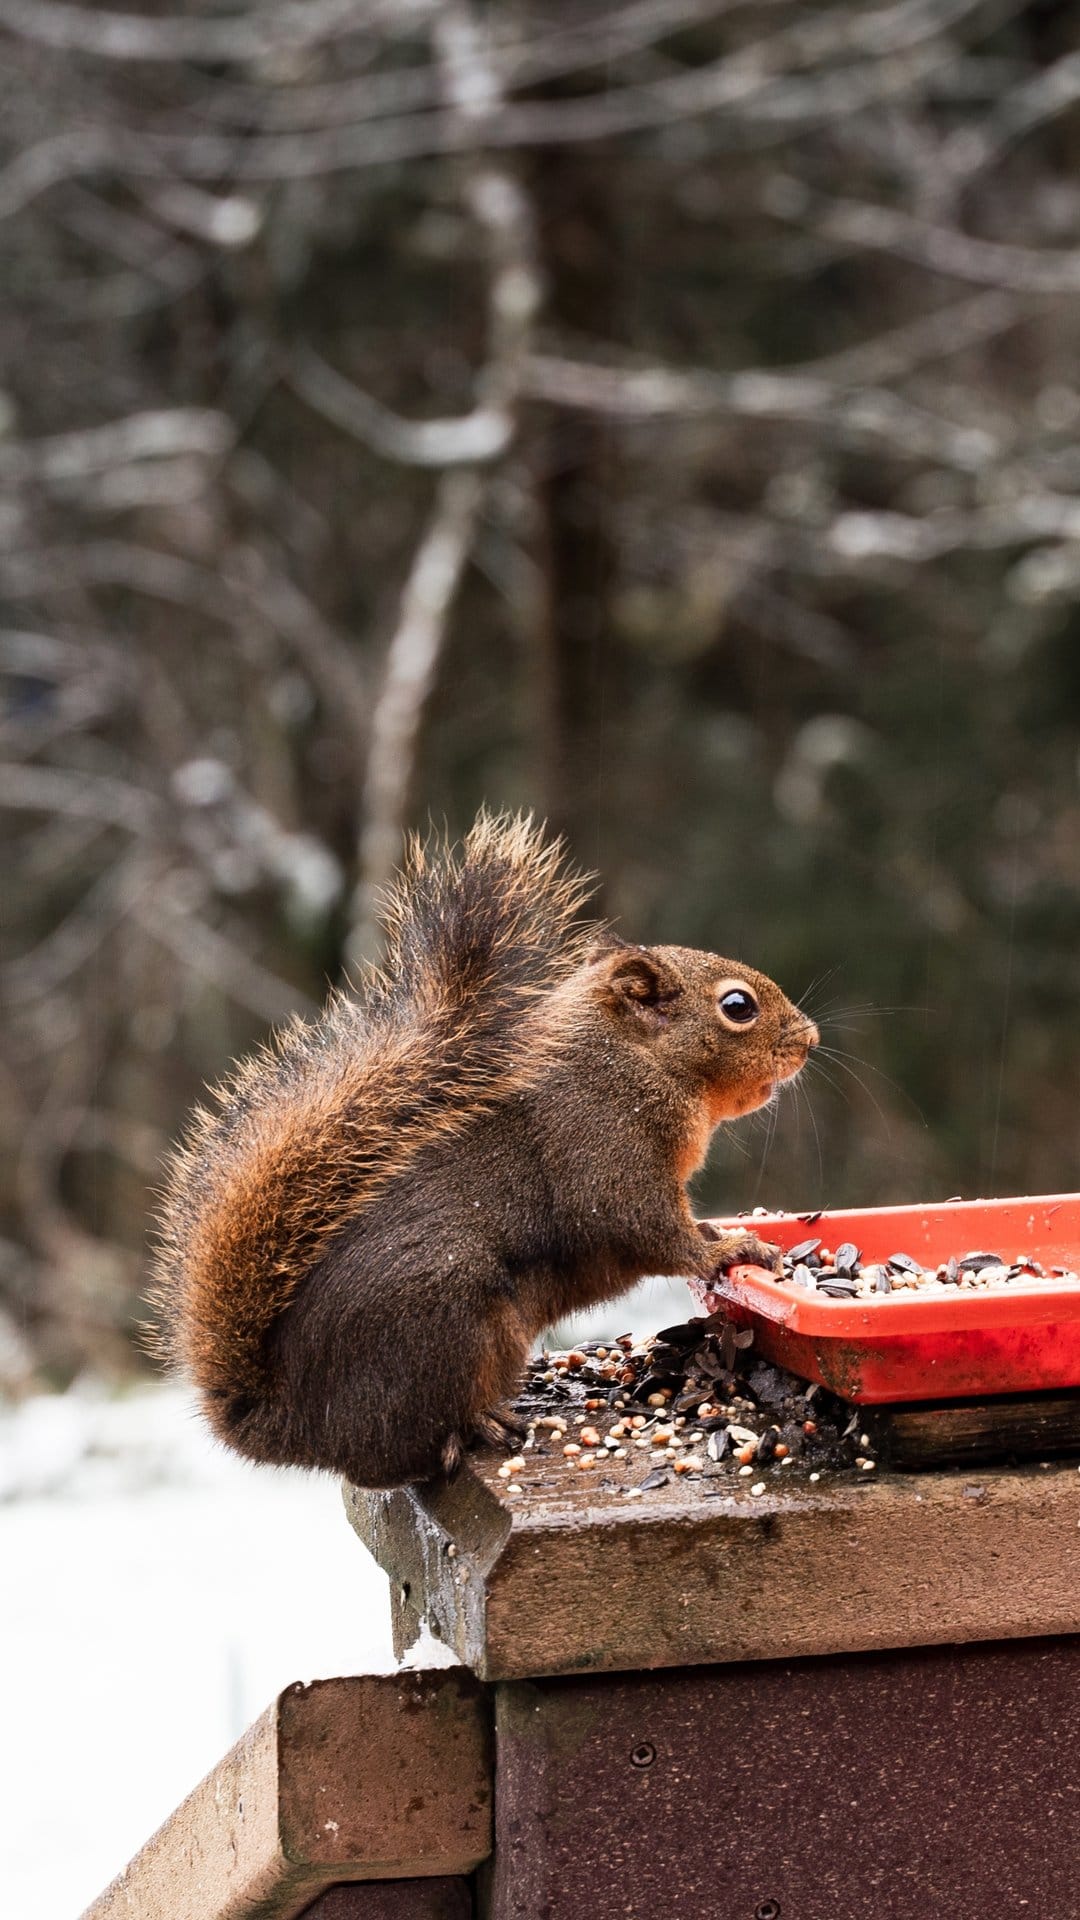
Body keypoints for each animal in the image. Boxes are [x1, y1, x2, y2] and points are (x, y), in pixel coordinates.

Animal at [151, 811, 818, 1489]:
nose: (810, 1039)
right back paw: (478, 1428)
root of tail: (292, 1428)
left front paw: (728, 1236)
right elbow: (646, 1229)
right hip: (446, 1322)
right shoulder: (604, 1149)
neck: (635, 1064)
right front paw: (731, 1249)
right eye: (737, 1006)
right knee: (402, 1454)